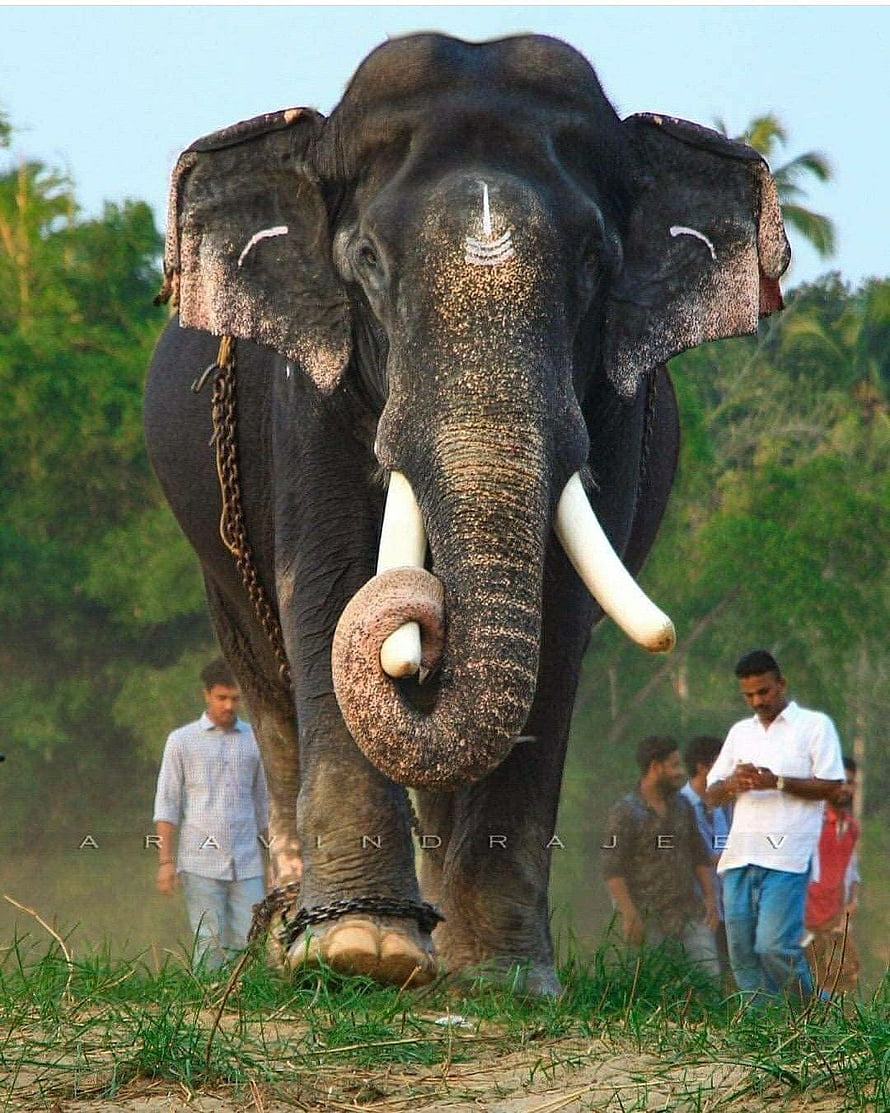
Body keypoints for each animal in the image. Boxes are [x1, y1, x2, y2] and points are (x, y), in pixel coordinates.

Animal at [143, 32, 789, 995]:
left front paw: (503, 980)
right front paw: (360, 951)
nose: (427, 604)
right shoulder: (308, 390)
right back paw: (296, 937)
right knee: (266, 680)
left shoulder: (609, 409)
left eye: (595, 264)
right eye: (368, 262)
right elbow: (330, 587)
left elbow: (559, 617)